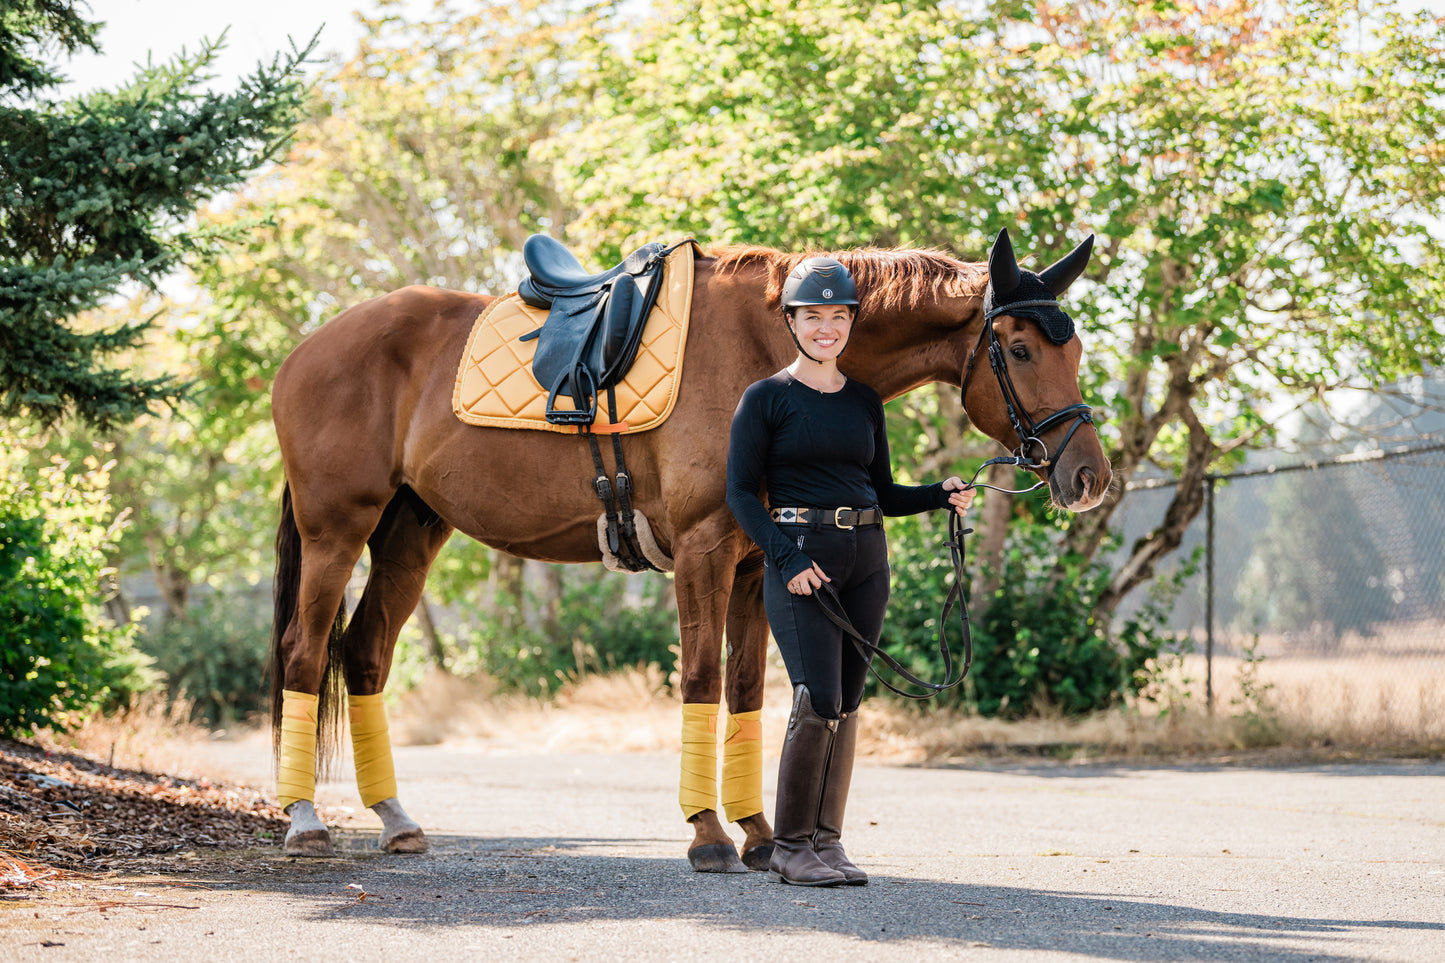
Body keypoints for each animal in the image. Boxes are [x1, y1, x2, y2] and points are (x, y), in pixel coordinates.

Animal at [265, 234, 1109, 867]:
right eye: (1020, 349)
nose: (1088, 476)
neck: (767, 347)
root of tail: (307, 349)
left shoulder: (758, 563)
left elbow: (747, 690)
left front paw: (760, 834)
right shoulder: (705, 550)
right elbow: (701, 680)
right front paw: (707, 834)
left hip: (410, 532)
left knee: (364, 653)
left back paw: (395, 817)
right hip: (336, 529)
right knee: (305, 650)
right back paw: (305, 819)